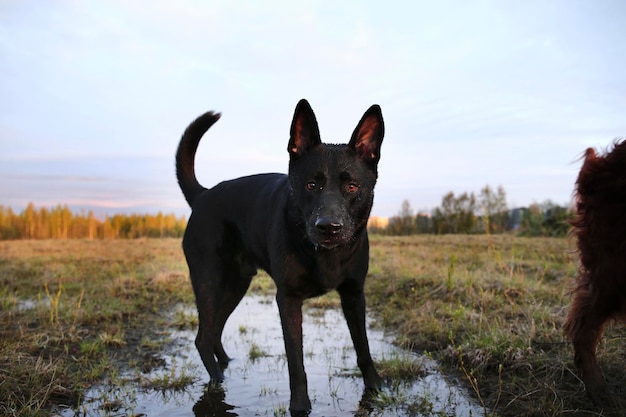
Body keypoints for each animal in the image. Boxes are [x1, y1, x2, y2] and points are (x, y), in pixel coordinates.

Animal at [173, 98, 382, 412]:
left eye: (352, 186)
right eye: (311, 185)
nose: (328, 227)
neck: (325, 255)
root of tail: (202, 195)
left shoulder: (354, 294)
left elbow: (364, 348)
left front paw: (376, 389)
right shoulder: (288, 299)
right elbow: (296, 363)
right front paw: (300, 407)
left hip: (236, 284)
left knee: (215, 330)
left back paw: (226, 364)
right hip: (209, 280)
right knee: (202, 337)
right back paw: (218, 382)